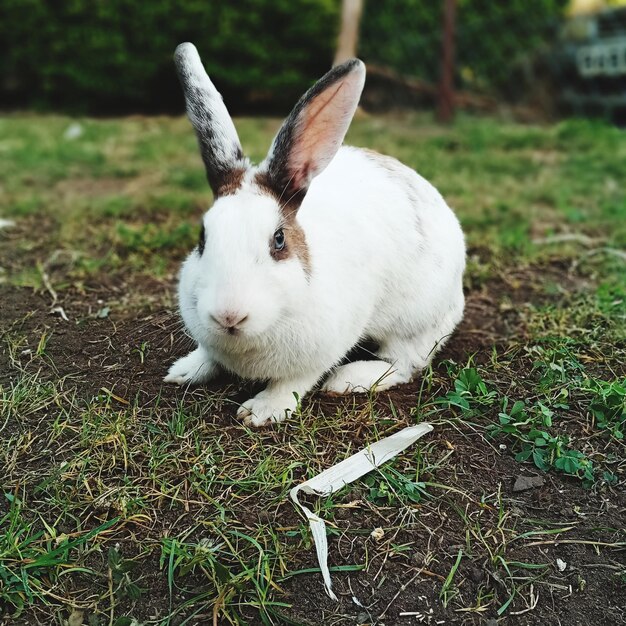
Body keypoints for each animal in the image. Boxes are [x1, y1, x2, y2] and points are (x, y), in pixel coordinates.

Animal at [163, 42, 466, 424]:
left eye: (279, 240)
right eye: (202, 238)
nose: (228, 315)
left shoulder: (324, 348)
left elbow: (295, 381)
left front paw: (261, 411)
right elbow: (208, 354)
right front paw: (184, 370)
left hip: (414, 320)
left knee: (404, 363)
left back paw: (348, 379)